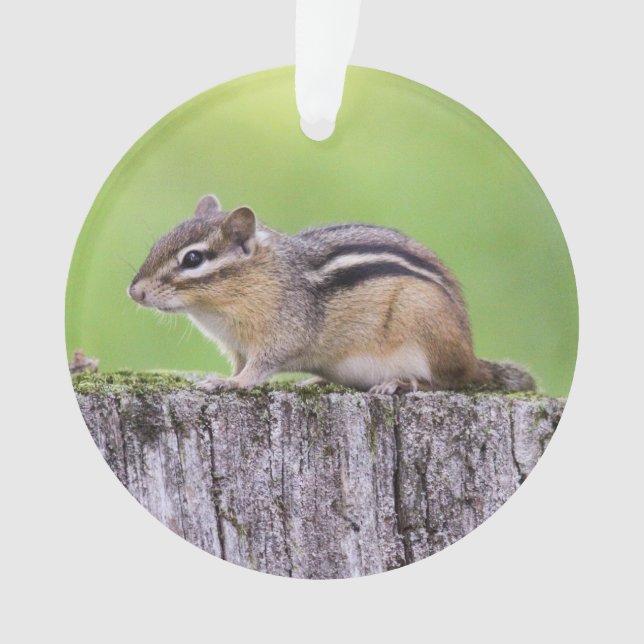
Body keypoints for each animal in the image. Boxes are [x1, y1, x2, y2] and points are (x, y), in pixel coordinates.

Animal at [128, 194, 535, 394]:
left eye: (193, 258)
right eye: (158, 244)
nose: (134, 292)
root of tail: (470, 356)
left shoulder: (281, 336)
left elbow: (257, 369)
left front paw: (230, 384)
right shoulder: (237, 347)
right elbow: (241, 364)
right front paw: (223, 377)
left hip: (427, 332)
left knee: (447, 381)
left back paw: (401, 382)